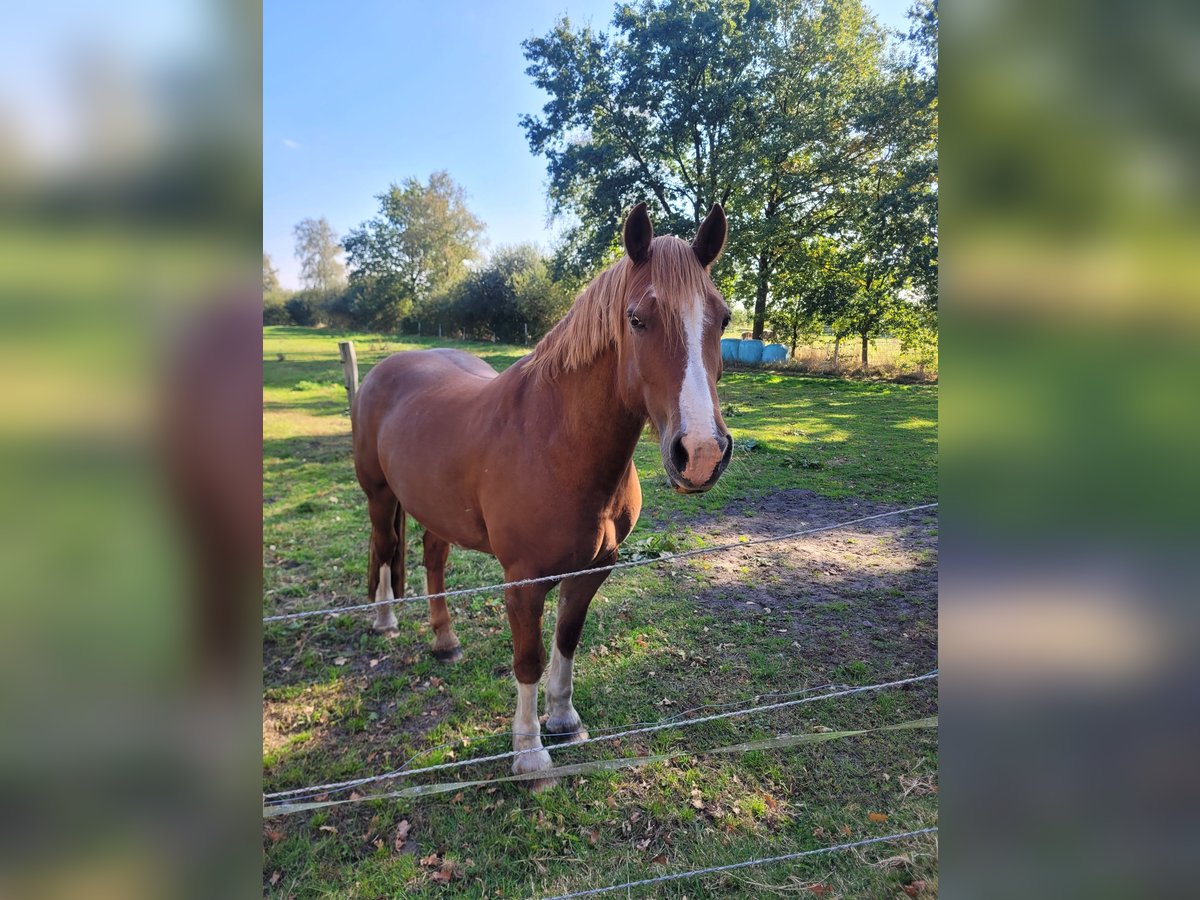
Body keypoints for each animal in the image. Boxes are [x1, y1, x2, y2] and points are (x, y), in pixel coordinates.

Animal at [351, 202, 733, 781]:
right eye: (636, 318)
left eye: (723, 318)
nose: (702, 452)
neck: (556, 443)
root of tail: (386, 369)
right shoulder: (524, 583)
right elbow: (527, 659)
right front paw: (530, 753)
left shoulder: (593, 569)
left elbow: (566, 640)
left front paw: (564, 720)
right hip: (378, 496)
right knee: (383, 550)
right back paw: (385, 620)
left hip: (435, 510)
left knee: (432, 558)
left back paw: (445, 641)